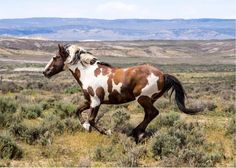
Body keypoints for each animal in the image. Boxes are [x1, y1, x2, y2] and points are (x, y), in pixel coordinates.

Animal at [42, 44, 201, 142]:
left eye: (55, 57)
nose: (45, 72)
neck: (88, 73)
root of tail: (163, 75)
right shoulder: (89, 101)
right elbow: (78, 111)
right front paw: (85, 126)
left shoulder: (96, 102)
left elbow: (92, 120)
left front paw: (107, 132)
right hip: (149, 100)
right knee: (149, 114)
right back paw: (137, 133)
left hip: (143, 98)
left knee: (153, 113)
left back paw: (136, 133)